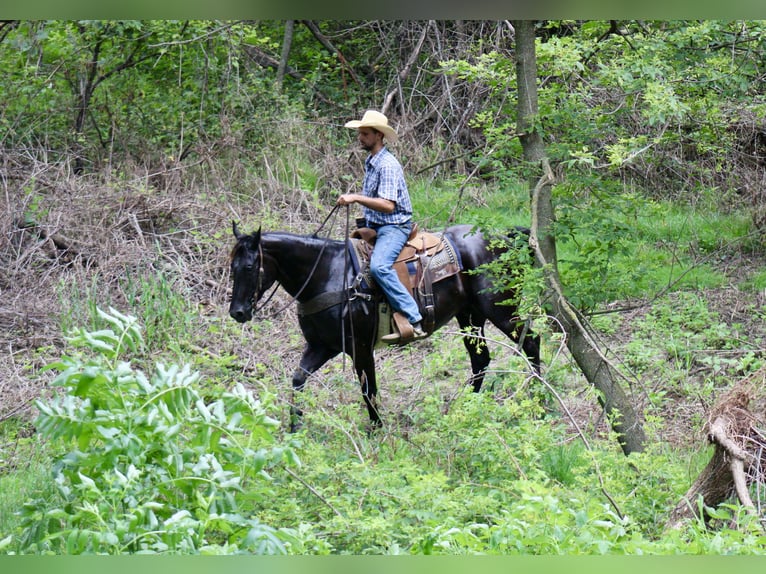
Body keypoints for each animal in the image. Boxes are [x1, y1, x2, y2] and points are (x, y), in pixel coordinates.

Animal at [228, 223, 540, 430]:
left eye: (249, 266)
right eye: (232, 267)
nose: (238, 312)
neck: (326, 274)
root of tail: (503, 237)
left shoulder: (361, 348)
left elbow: (369, 389)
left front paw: (377, 429)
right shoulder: (321, 346)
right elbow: (298, 378)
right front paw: (295, 427)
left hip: (499, 308)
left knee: (530, 342)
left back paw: (539, 398)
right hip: (469, 315)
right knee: (480, 358)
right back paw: (467, 407)